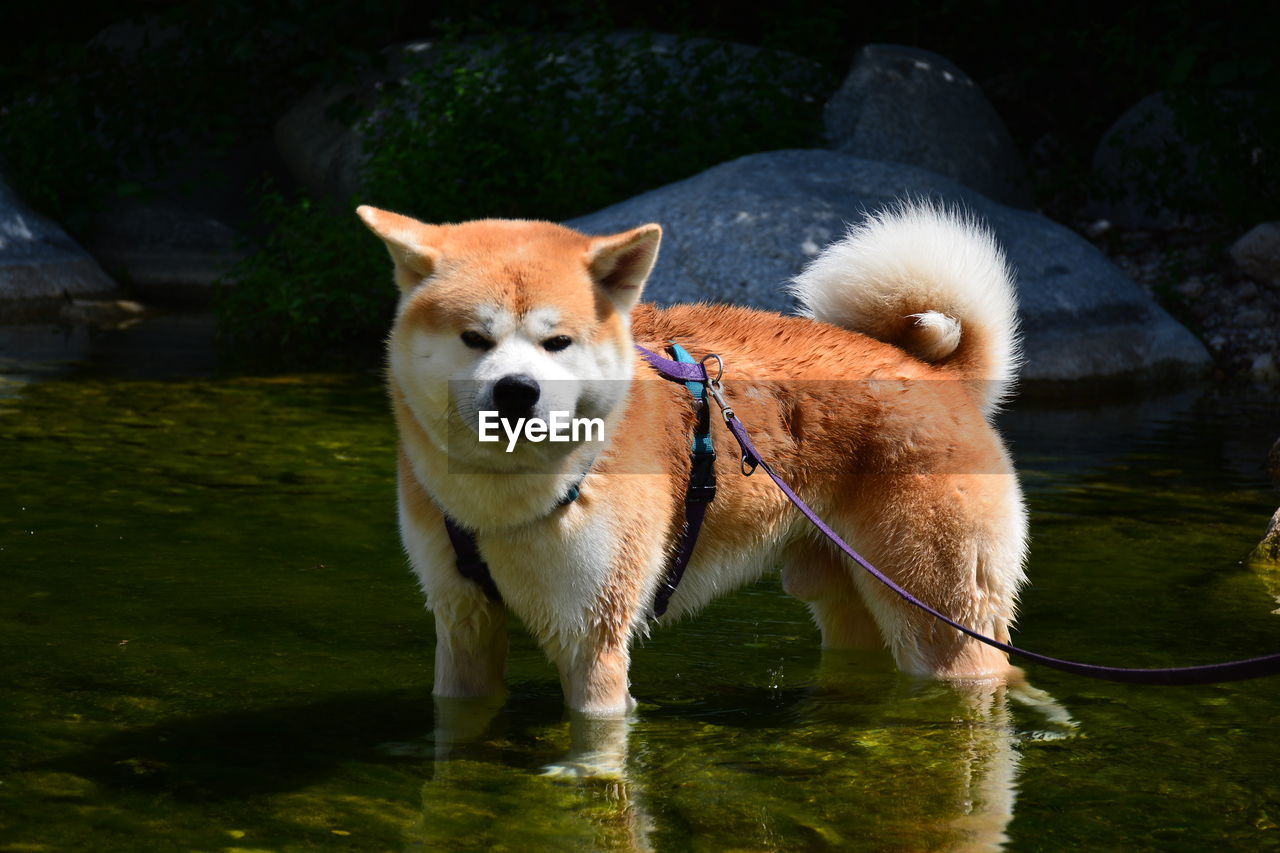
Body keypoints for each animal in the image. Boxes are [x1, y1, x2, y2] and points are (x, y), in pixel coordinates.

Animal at [355, 202, 1024, 712]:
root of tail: (940, 375)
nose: (516, 391)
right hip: (852, 601)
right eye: (474, 338)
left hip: (936, 616)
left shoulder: (591, 636)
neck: (503, 503)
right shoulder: (461, 623)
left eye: (558, 342)